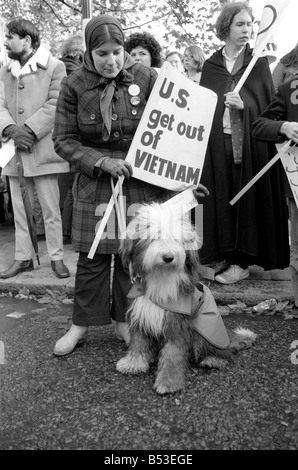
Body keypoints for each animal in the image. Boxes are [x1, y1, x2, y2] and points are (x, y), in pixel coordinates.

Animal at [116, 204, 256, 394]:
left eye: (176, 239)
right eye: (155, 236)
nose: (168, 257)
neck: (161, 277)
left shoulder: (177, 322)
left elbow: (173, 353)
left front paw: (168, 382)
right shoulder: (141, 312)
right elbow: (138, 341)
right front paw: (133, 363)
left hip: (204, 332)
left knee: (223, 351)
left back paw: (214, 359)